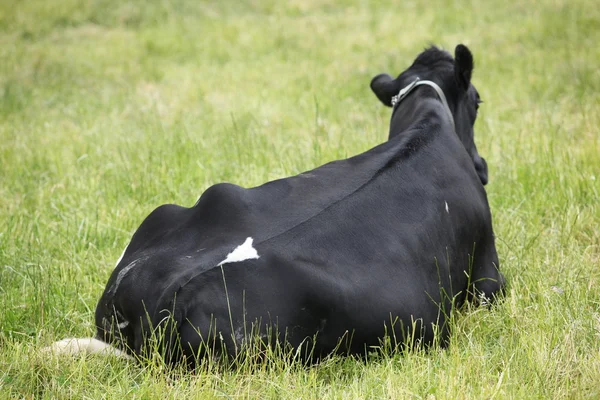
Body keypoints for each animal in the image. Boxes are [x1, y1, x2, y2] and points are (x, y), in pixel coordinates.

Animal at [48, 43, 506, 366]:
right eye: (478, 100)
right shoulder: (488, 275)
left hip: (169, 211)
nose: (483, 166)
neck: (426, 123)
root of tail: (162, 296)